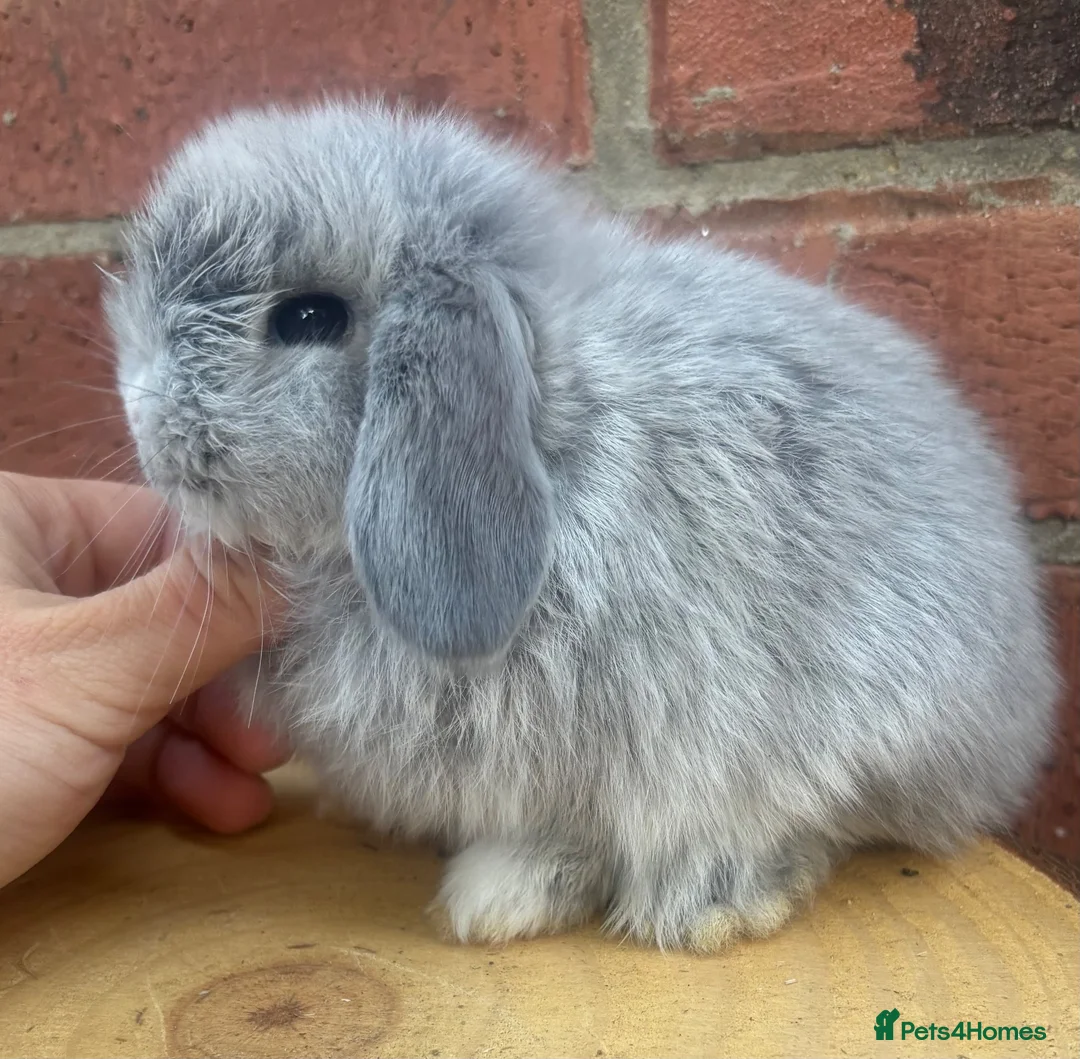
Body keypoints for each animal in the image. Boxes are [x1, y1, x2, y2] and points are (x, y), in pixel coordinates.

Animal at [105, 99, 1059, 952]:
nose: (149, 430)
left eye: (308, 318)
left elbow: (577, 825)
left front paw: (491, 900)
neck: (555, 433)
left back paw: (708, 900)